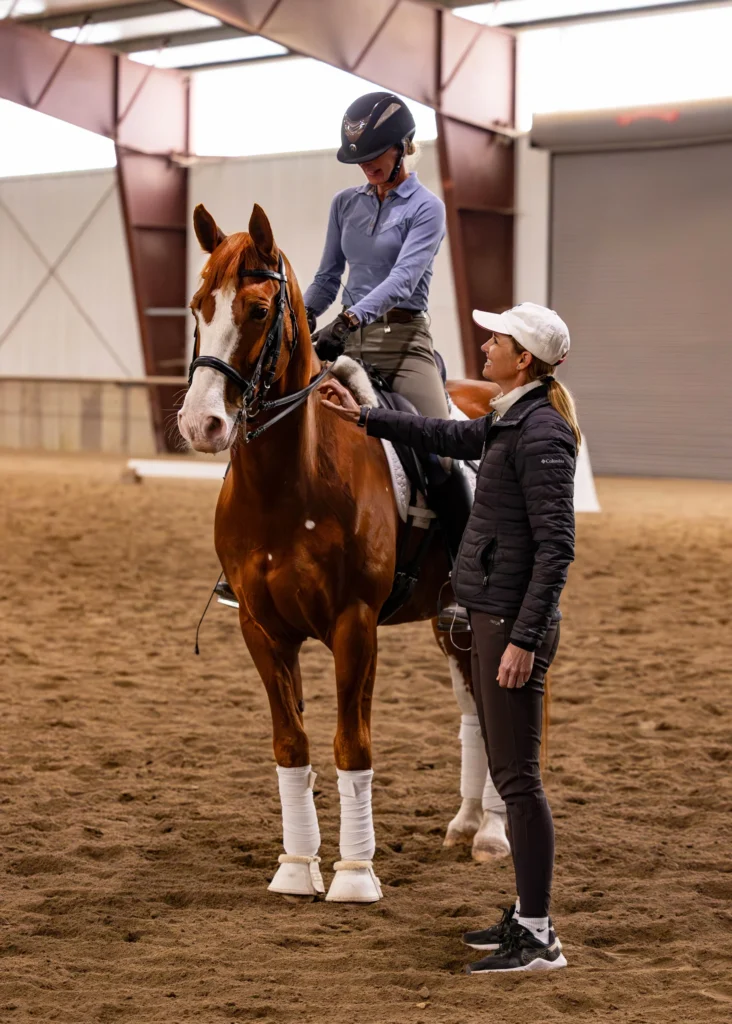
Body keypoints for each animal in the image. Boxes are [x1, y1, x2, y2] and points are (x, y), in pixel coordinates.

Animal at [177, 202, 509, 903]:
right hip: (451, 621)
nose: (202, 425)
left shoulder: (355, 625)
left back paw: (494, 833)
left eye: (256, 310)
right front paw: (296, 867)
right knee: (474, 708)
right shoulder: (262, 629)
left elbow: (351, 746)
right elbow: (291, 744)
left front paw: (355, 876)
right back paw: (467, 824)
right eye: (198, 306)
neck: (291, 481)